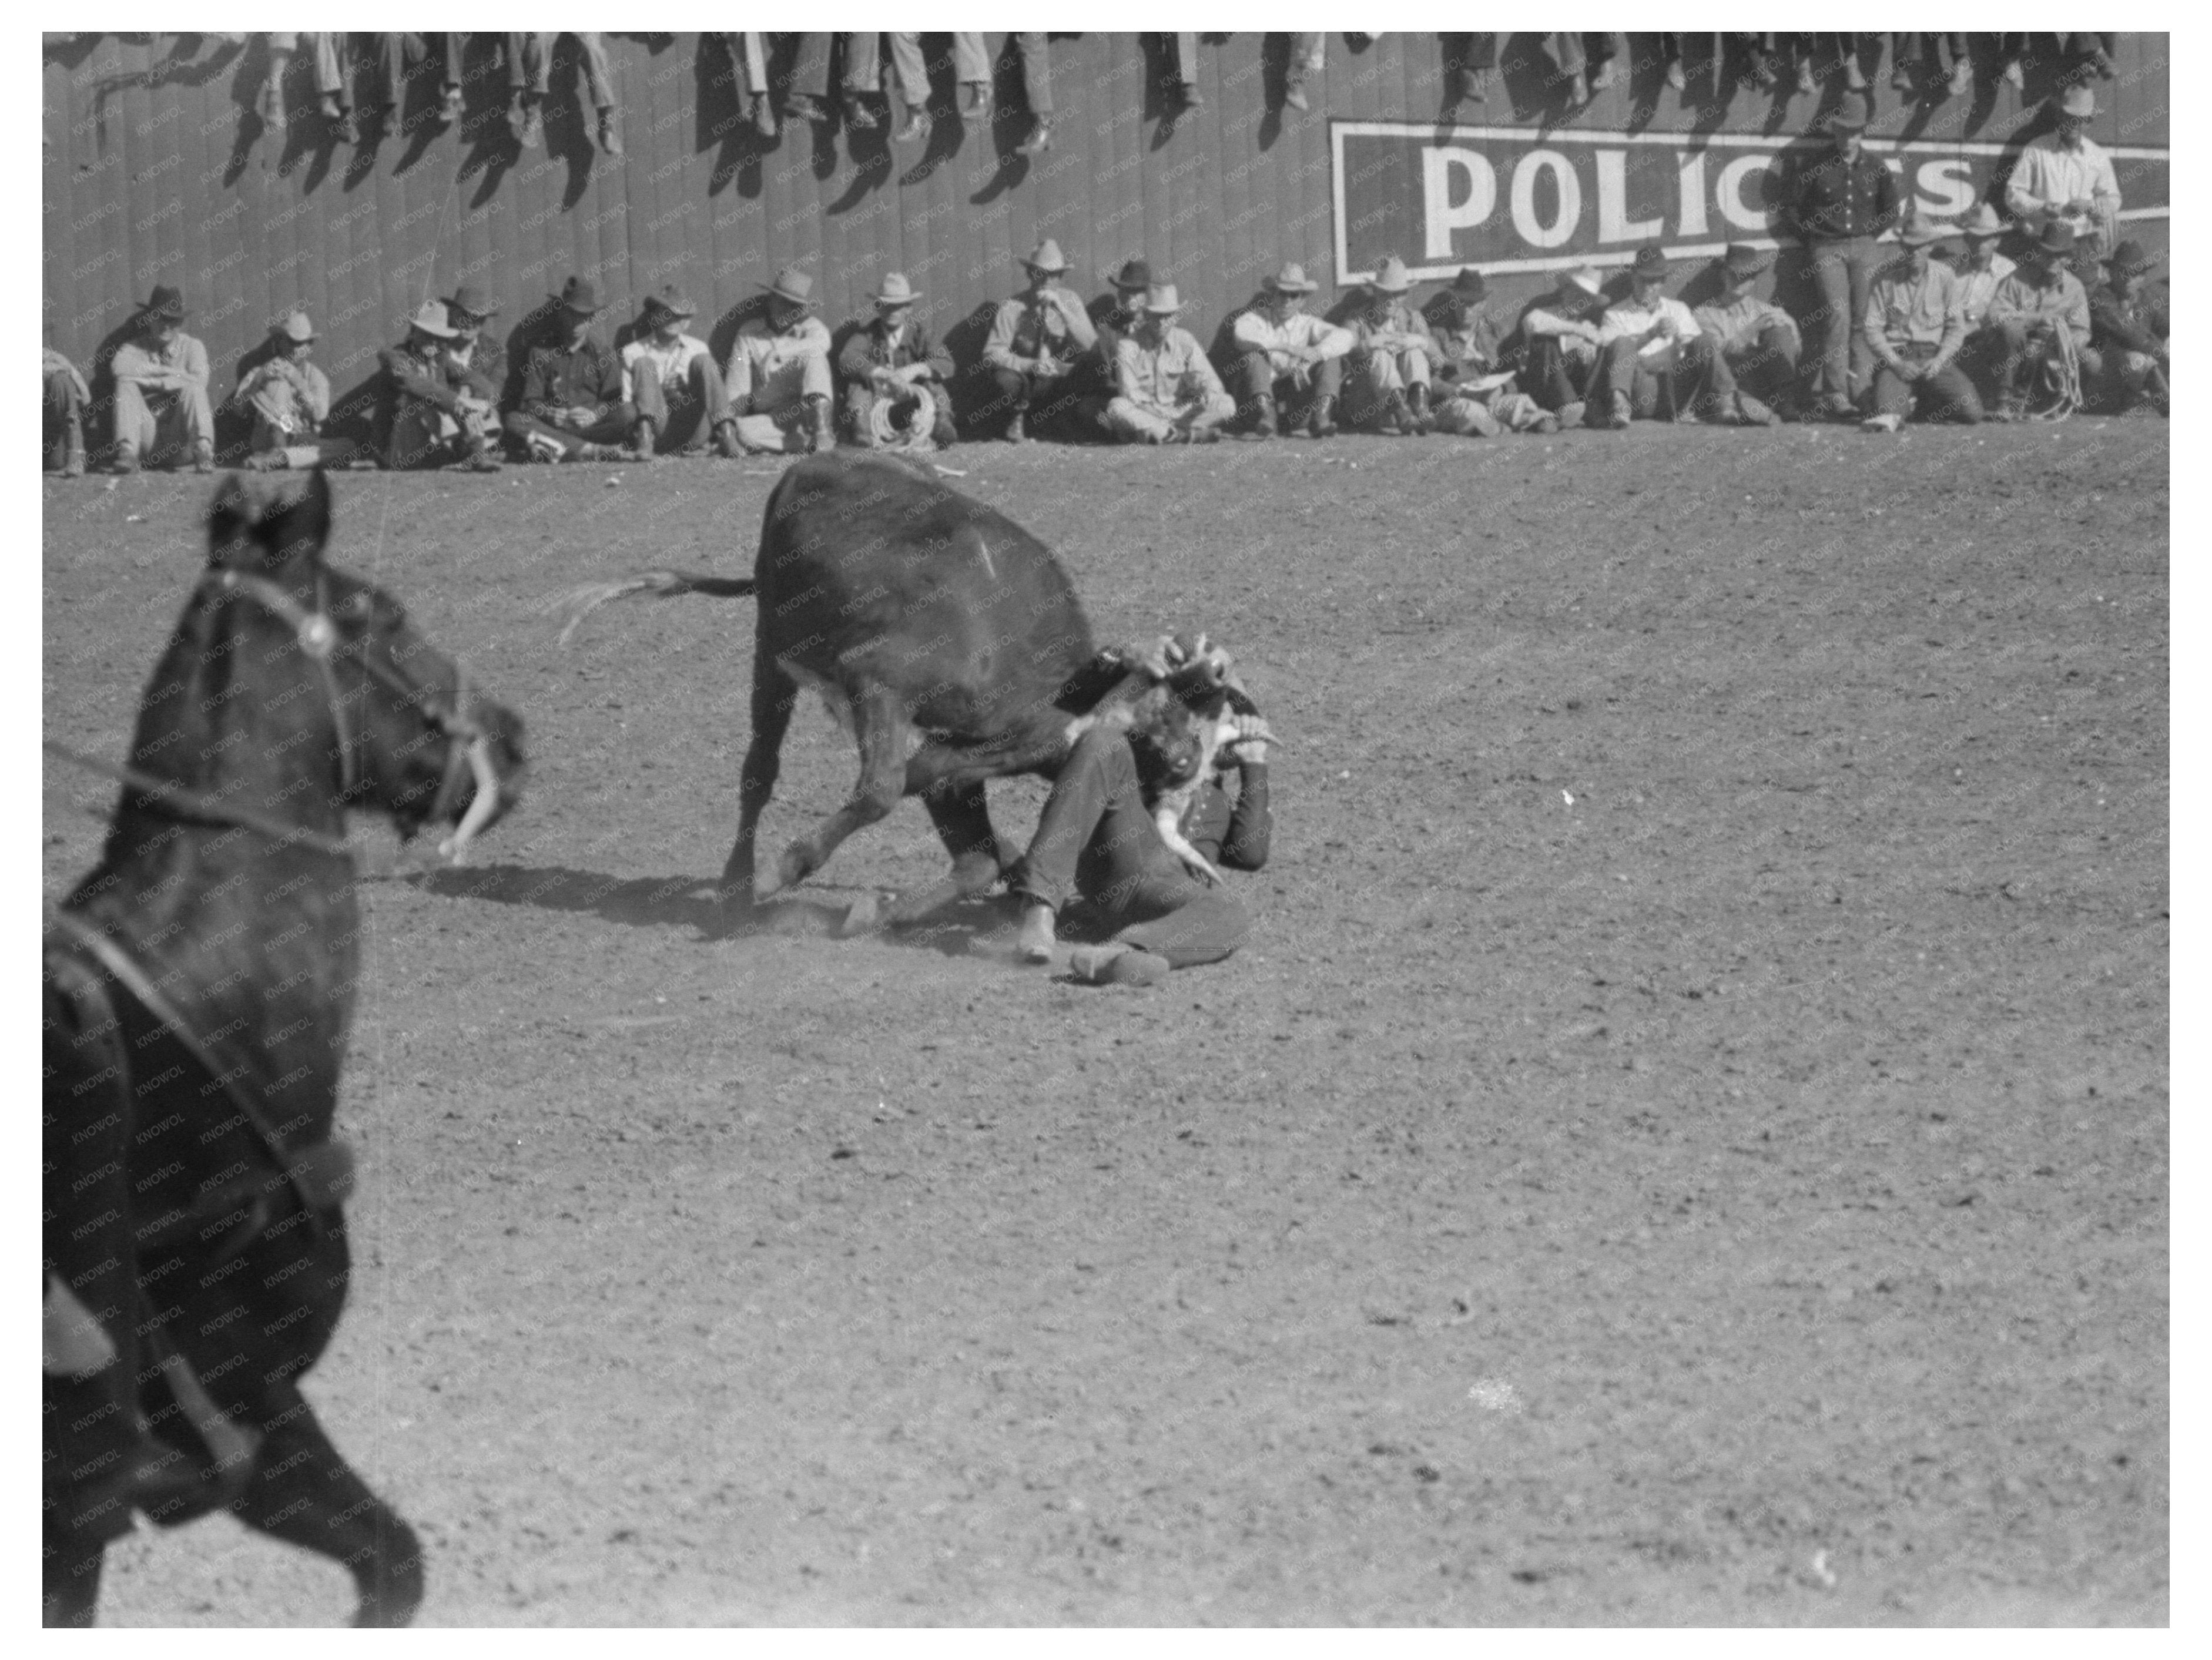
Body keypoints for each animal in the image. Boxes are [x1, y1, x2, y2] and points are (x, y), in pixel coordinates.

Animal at [556, 451, 1130, 919]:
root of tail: (815, 460)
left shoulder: (950, 740)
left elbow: (964, 841)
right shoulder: (877, 683)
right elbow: (880, 791)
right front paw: (781, 871)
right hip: (772, 653)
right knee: (759, 770)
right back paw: (738, 882)